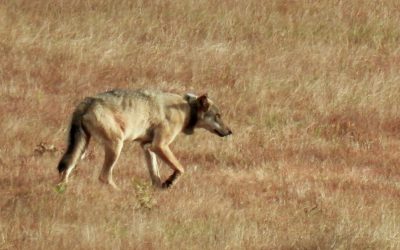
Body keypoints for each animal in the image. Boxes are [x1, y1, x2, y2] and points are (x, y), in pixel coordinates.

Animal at [56, 89, 231, 188]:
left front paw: (160, 187)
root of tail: (87, 101)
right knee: (104, 176)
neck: (186, 109)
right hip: (116, 146)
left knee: (66, 170)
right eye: (218, 116)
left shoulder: (147, 146)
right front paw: (170, 182)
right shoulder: (160, 145)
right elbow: (181, 168)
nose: (230, 132)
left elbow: (155, 174)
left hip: (82, 150)